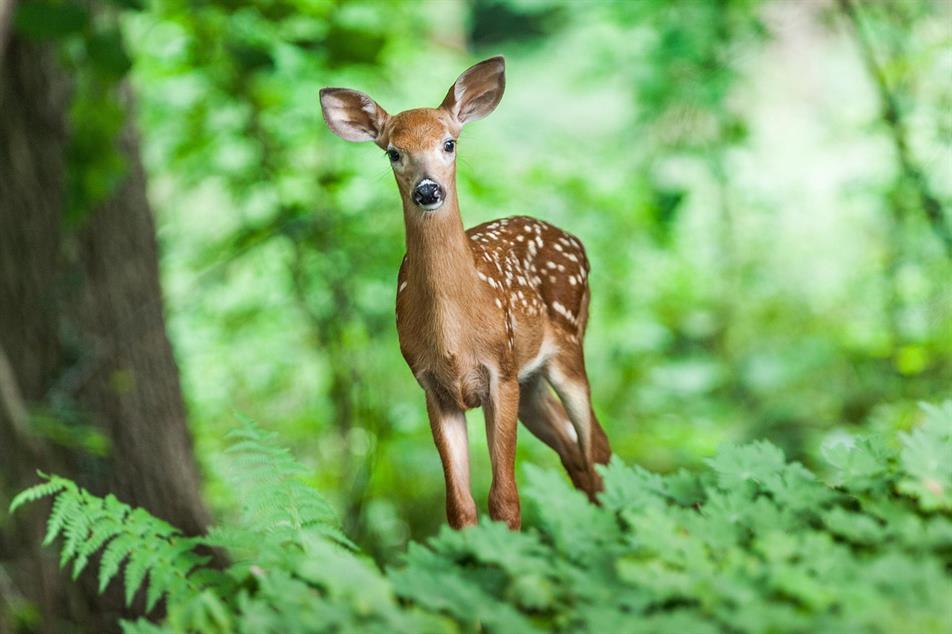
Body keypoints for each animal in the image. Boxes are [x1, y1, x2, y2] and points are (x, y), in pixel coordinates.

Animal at [319, 56, 611, 529]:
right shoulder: (433, 387)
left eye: (449, 143)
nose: (427, 190)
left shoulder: (500, 371)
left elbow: (505, 499)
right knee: (575, 454)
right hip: (531, 382)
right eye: (393, 152)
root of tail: (575, 241)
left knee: (597, 447)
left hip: (567, 346)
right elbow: (459, 506)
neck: (454, 334)